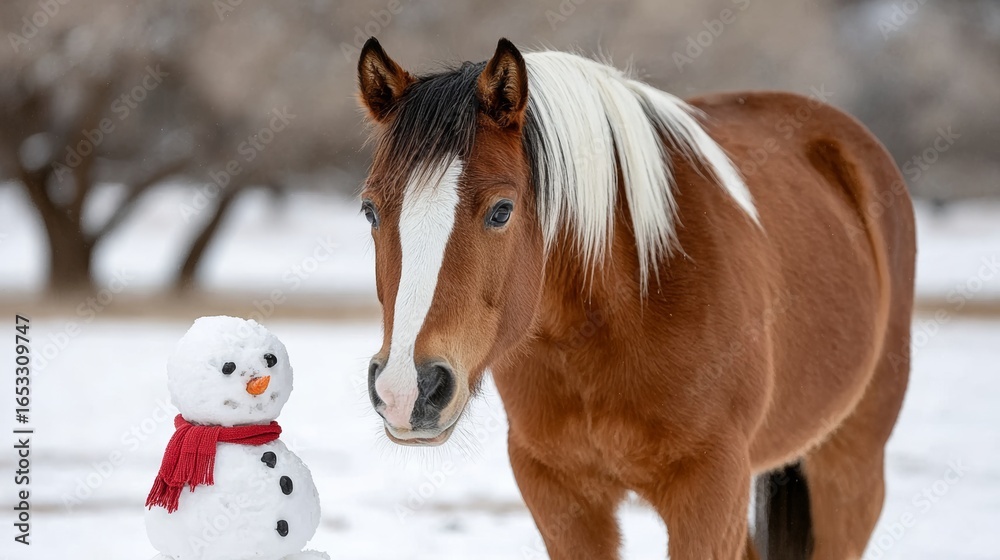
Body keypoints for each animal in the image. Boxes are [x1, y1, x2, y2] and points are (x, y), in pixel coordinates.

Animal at [355, 37, 915, 560]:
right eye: (370, 210)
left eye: (501, 210)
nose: (407, 390)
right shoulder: (558, 493)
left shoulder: (712, 490)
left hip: (849, 467)